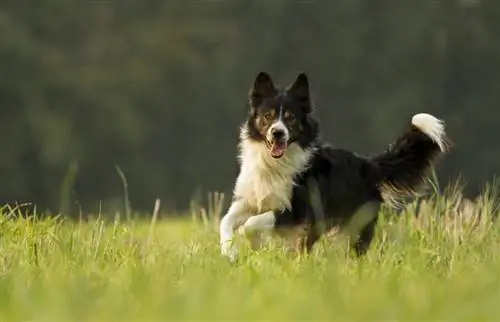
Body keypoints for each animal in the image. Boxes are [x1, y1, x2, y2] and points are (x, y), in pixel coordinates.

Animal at [219, 71, 450, 260]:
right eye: (267, 116)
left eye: (290, 118)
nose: (278, 133)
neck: (274, 164)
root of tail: (368, 165)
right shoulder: (249, 200)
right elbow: (226, 220)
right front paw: (229, 252)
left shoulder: (297, 211)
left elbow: (250, 224)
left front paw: (253, 243)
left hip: (351, 224)